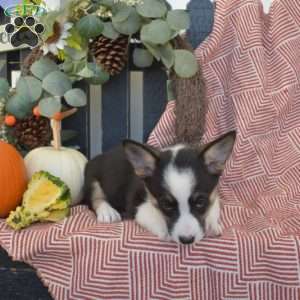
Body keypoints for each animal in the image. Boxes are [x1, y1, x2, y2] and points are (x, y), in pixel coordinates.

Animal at [83, 132, 236, 244]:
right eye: (166, 205)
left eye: (200, 202)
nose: (187, 240)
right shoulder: (138, 207)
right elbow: (154, 217)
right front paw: (165, 232)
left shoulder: (214, 196)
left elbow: (213, 209)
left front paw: (212, 224)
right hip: (91, 177)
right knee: (96, 197)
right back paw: (107, 211)